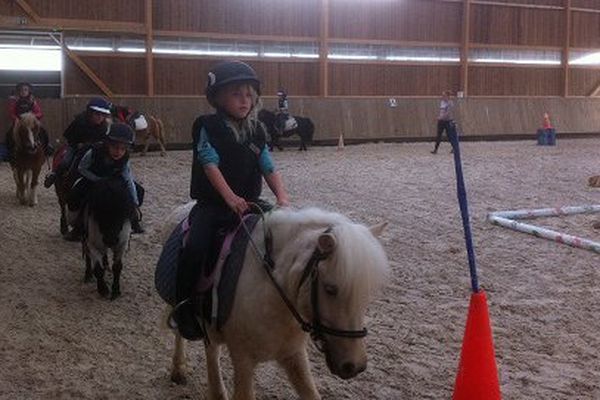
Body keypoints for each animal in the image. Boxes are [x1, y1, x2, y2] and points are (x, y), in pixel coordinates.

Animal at [162, 205, 392, 398]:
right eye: (330, 289)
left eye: (366, 293)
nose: (355, 365)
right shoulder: (243, 360)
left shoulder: (294, 355)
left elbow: (311, 393)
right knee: (182, 334)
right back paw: (178, 369)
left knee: (211, 350)